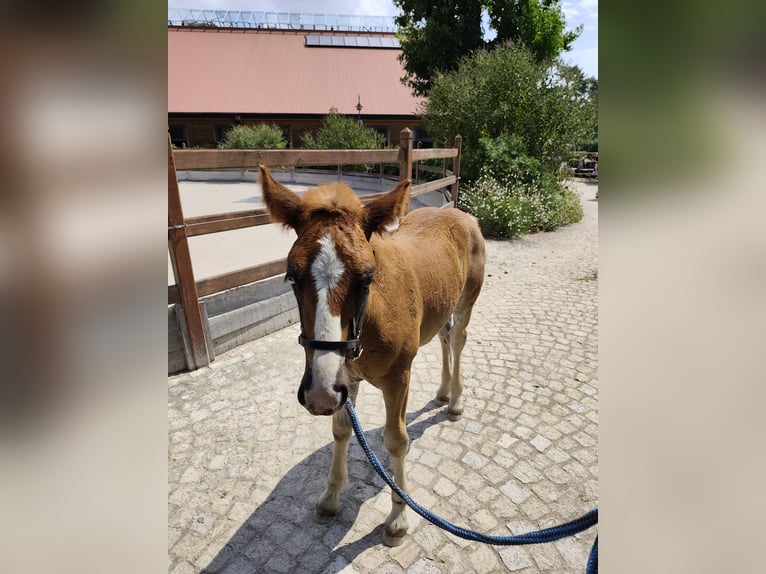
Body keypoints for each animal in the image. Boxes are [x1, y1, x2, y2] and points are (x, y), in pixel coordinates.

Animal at [259, 165, 485, 546]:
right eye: (292, 276)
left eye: (367, 278)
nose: (319, 395)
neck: (369, 324)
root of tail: (457, 212)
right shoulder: (345, 379)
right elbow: (340, 429)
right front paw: (330, 497)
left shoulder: (397, 379)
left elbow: (397, 440)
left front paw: (398, 518)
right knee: (444, 335)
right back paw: (441, 393)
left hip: (467, 299)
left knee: (458, 339)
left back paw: (454, 401)